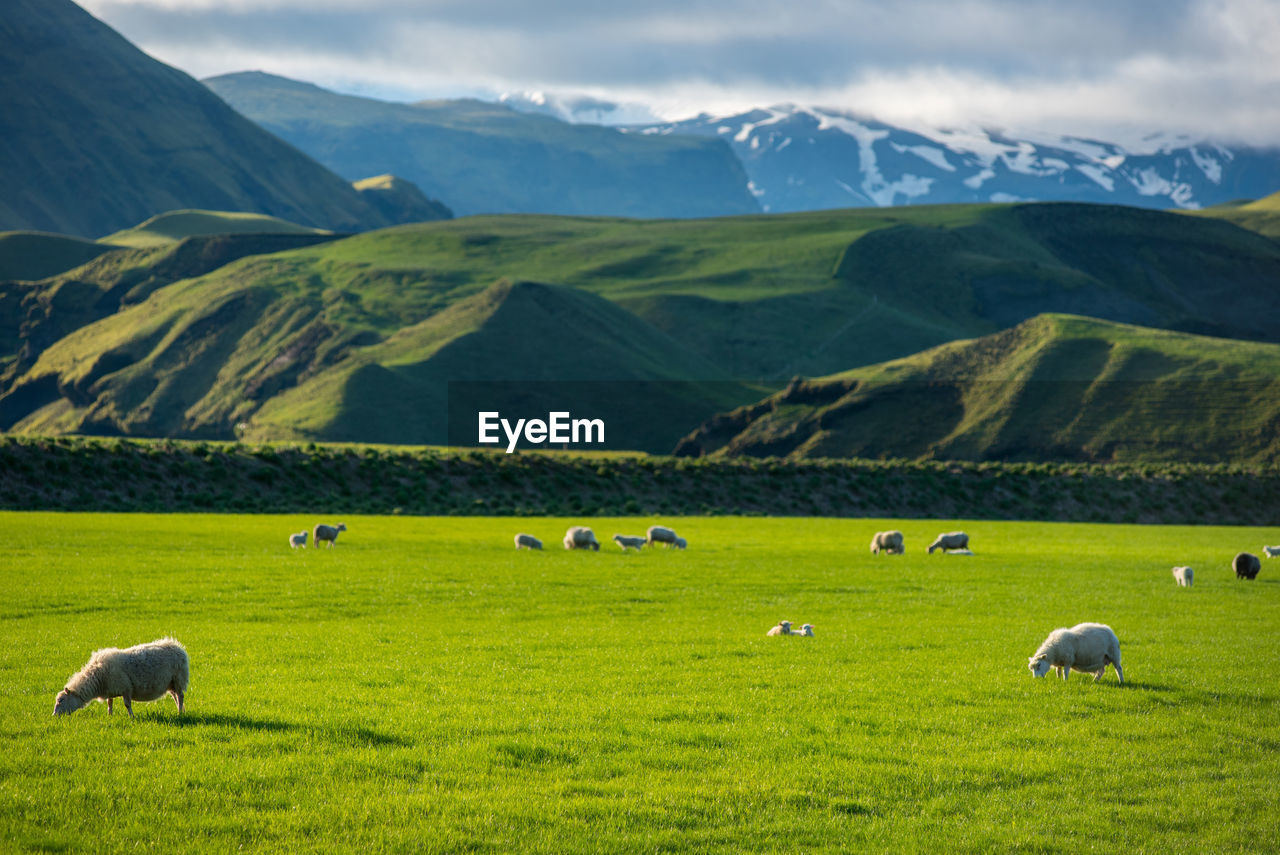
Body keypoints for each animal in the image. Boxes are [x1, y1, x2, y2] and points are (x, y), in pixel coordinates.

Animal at [53, 637, 189, 716]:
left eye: (61, 700)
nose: (54, 715)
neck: (97, 677)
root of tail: (176, 646)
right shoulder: (110, 690)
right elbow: (109, 704)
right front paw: (110, 716)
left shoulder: (125, 688)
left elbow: (127, 704)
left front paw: (131, 717)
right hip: (170, 683)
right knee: (175, 696)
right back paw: (180, 710)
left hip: (178, 678)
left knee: (180, 696)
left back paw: (179, 712)